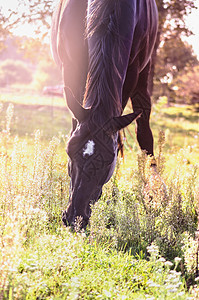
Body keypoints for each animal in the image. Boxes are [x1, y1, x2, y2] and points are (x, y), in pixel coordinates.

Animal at [51, 0, 159, 227]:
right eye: (68, 152)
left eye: (109, 160)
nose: (74, 218)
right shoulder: (70, 69)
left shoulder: (131, 72)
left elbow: (118, 138)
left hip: (144, 74)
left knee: (144, 131)